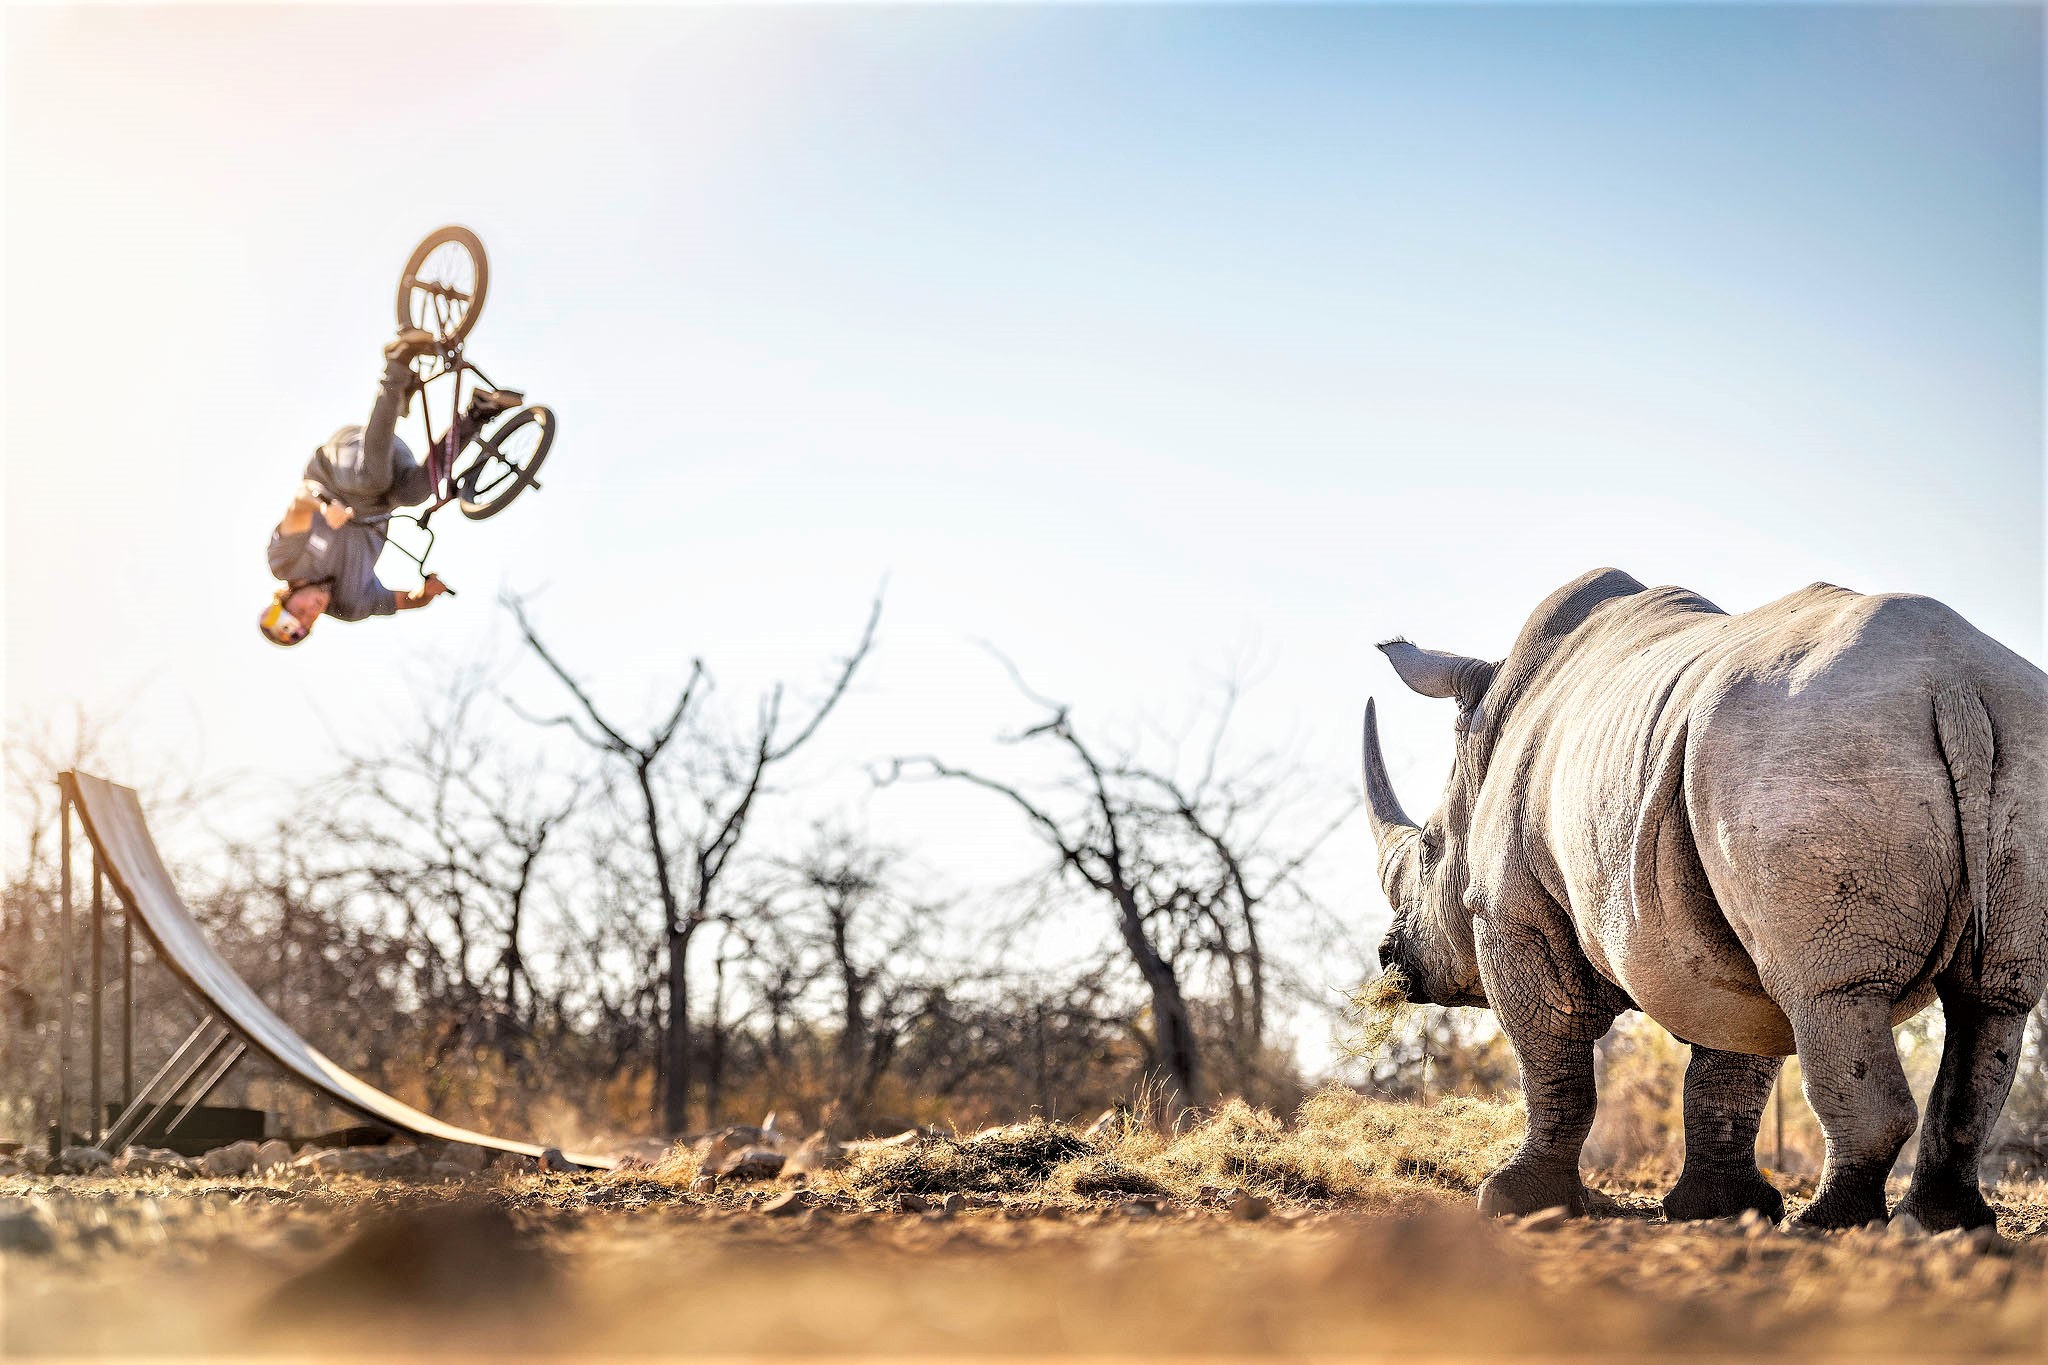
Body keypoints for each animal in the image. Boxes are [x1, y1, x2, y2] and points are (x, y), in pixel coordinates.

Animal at [1364, 568, 2048, 1230]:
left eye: (1427, 852)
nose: (1390, 959)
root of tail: (1955, 685)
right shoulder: (1716, 927)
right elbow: (1730, 1067)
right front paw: (1720, 1210)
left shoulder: (1511, 912)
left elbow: (1554, 1063)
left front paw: (1512, 1202)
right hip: (2010, 744)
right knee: (1992, 1001)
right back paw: (1945, 1224)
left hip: (1816, 751)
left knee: (1829, 992)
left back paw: (1829, 1226)